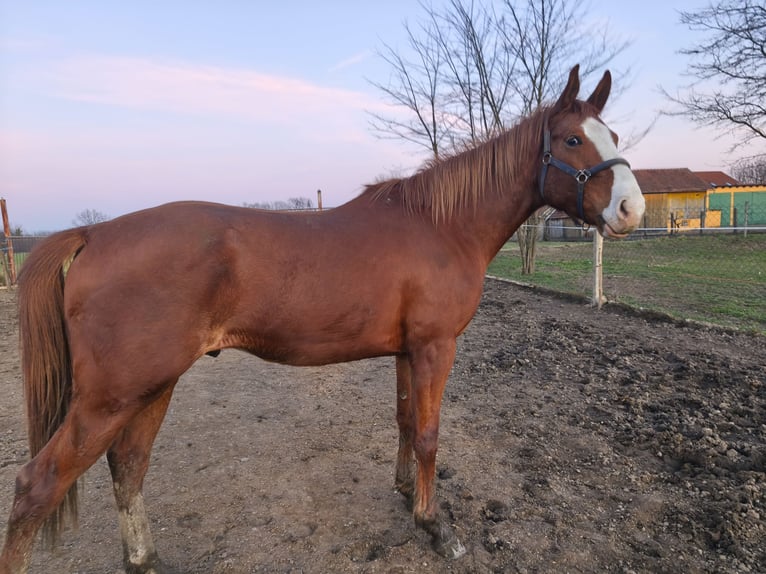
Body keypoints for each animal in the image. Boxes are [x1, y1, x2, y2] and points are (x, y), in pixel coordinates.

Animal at [0, 65, 644, 574]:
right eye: (571, 139)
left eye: (612, 135)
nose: (630, 209)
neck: (440, 225)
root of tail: (94, 233)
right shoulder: (435, 347)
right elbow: (430, 433)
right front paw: (435, 526)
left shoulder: (407, 351)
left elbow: (406, 423)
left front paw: (406, 495)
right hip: (113, 395)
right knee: (38, 487)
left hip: (151, 386)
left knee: (128, 467)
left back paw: (146, 560)